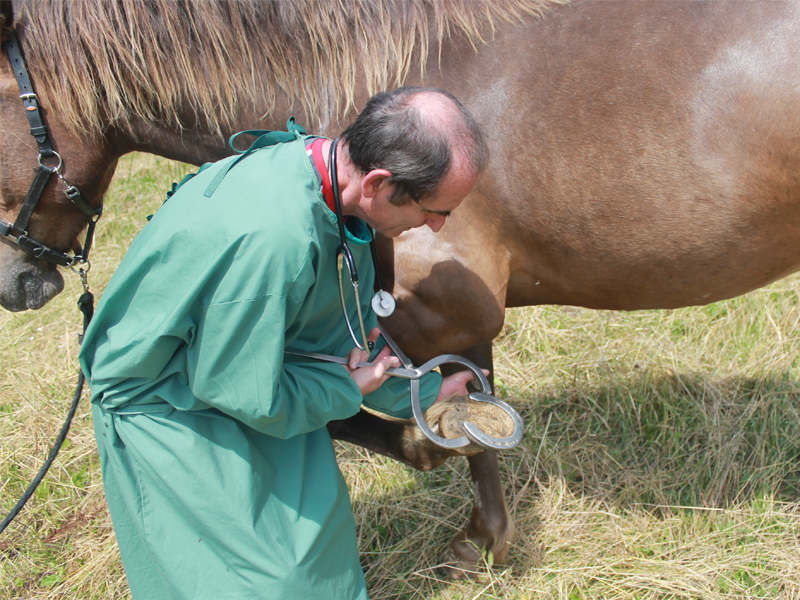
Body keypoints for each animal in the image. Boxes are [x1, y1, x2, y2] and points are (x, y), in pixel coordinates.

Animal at [1, 0, 800, 580]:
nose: (16, 284)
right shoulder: (453, 316)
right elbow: (467, 411)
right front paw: (484, 530)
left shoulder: (435, 312)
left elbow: (426, 427)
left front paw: (469, 530)